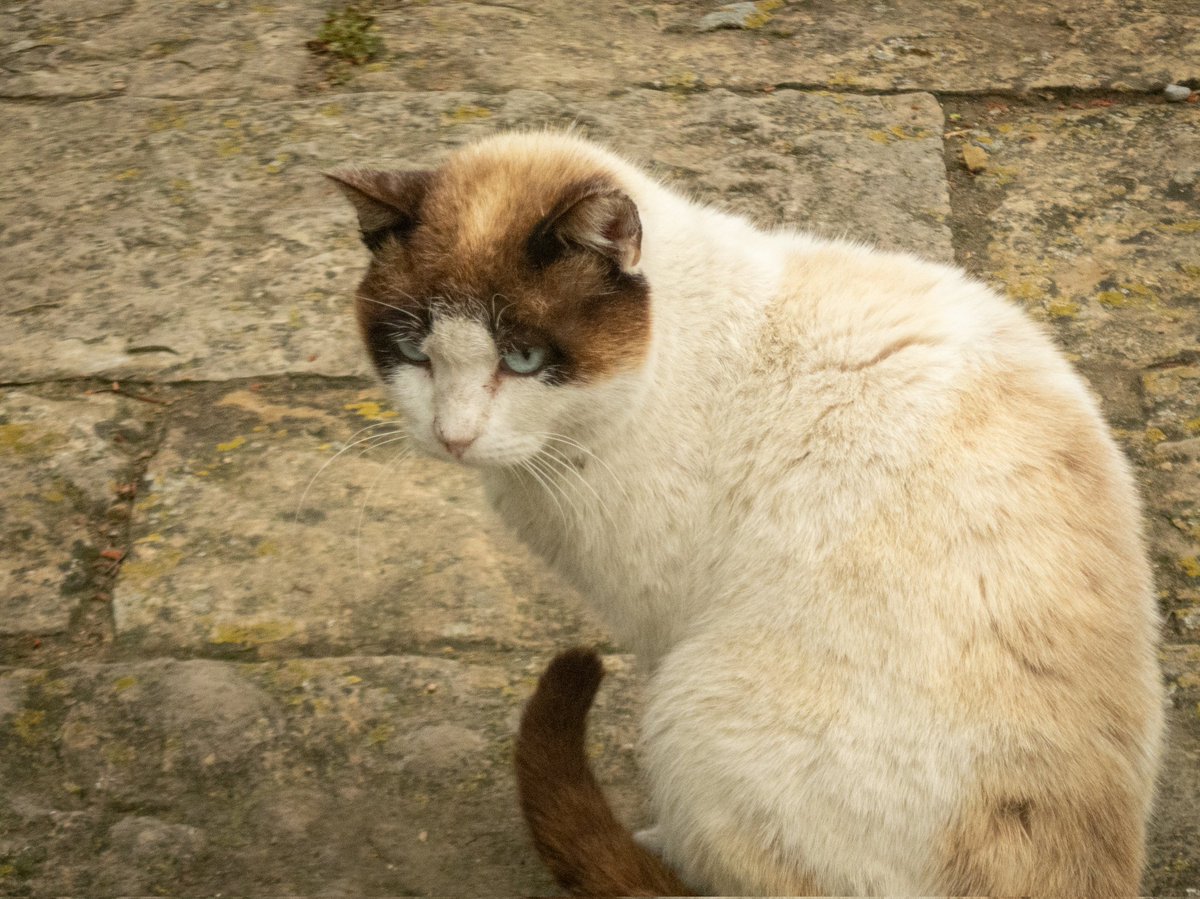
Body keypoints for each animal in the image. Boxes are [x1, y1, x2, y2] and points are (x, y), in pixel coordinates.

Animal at [328, 129, 1161, 892]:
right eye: (414, 351)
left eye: (524, 360)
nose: (455, 436)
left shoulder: (660, 625)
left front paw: (655, 836)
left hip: (693, 704)